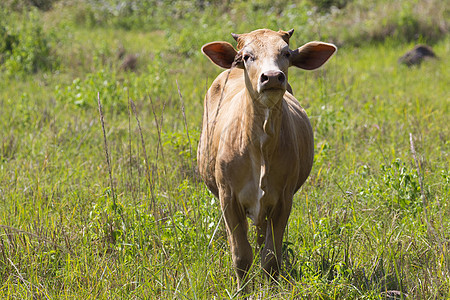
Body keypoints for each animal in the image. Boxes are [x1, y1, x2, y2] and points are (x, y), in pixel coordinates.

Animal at [199, 28, 336, 290]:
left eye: (286, 53)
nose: (272, 77)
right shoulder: (227, 197)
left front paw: (271, 287)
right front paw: (242, 289)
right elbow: (241, 254)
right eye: (247, 56)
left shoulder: (283, 199)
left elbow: (271, 256)